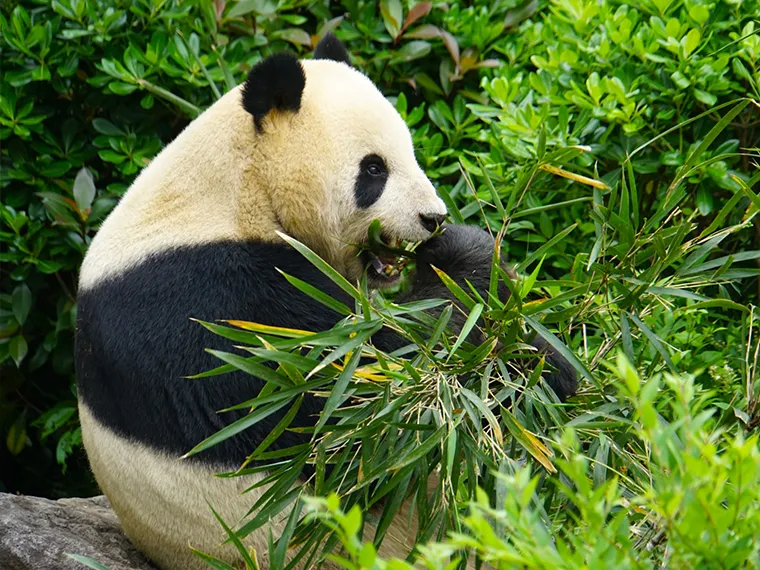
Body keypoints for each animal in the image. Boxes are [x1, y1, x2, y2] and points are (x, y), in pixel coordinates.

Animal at [75, 34, 576, 568]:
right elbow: (377, 388)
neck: (231, 189)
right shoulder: (218, 303)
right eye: (374, 169)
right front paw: (468, 266)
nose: (433, 218)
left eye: (411, 153)